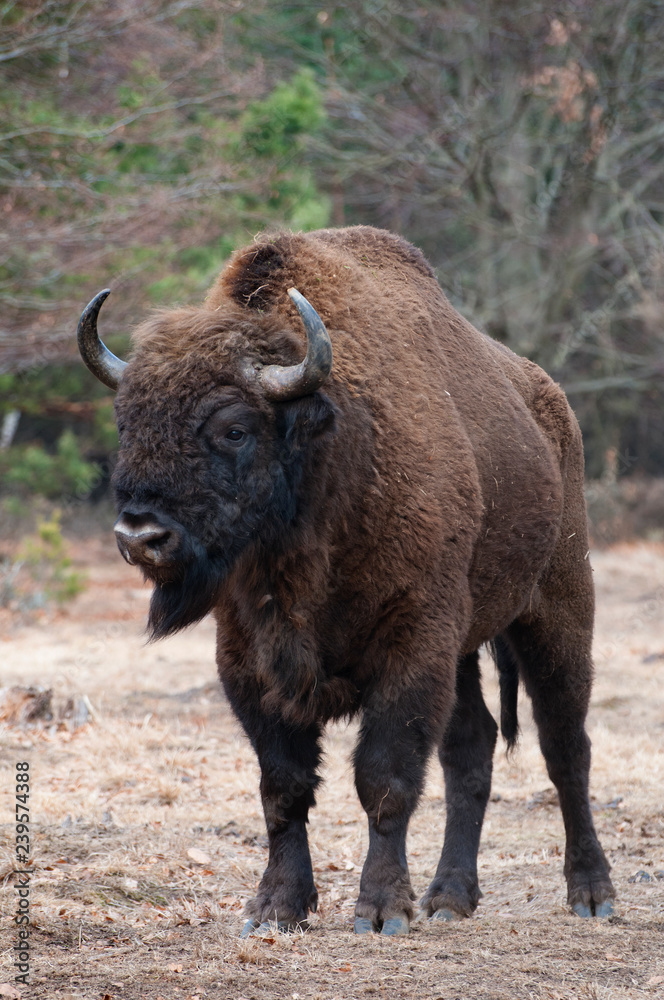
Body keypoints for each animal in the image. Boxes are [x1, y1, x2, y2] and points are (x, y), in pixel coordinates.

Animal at [78, 227, 616, 936]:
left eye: (234, 428)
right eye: (126, 423)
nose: (141, 535)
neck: (333, 456)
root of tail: (553, 408)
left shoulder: (412, 643)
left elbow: (385, 779)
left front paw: (381, 910)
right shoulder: (249, 662)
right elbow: (283, 788)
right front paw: (276, 908)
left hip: (556, 610)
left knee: (565, 747)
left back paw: (592, 893)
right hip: (467, 646)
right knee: (471, 751)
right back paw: (449, 897)